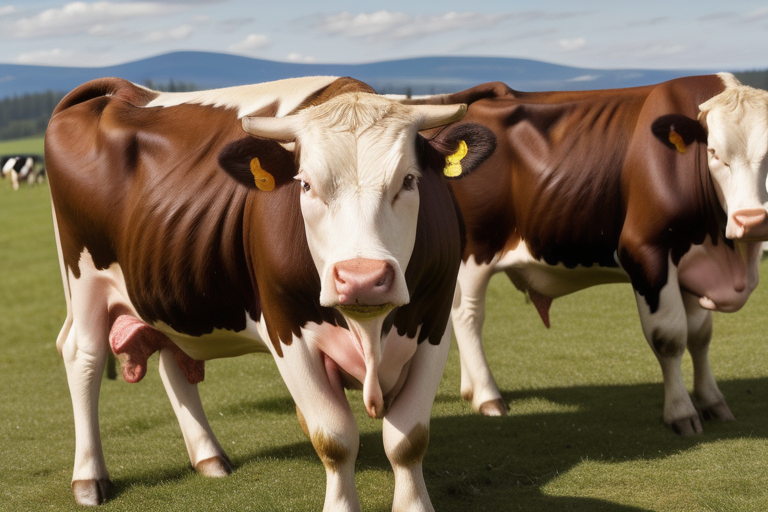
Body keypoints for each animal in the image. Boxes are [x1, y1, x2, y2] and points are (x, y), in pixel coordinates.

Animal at [45, 75, 490, 509]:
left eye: (409, 181)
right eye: (305, 185)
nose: (361, 278)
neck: (369, 334)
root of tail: (121, 91)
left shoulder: (433, 325)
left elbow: (407, 441)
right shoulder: (287, 331)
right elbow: (334, 437)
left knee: (173, 360)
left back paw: (208, 456)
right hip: (82, 280)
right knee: (82, 356)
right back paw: (89, 479)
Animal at [407, 73, 768, 435]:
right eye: (714, 153)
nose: (751, 220)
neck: (727, 253)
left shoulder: (693, 263)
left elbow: (700, 336)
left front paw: (712, 402)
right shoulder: (645, 251)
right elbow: (670, 338)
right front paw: (681, 412)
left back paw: (470, 390)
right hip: (475, 250)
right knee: (468, 316)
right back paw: (487, 396)